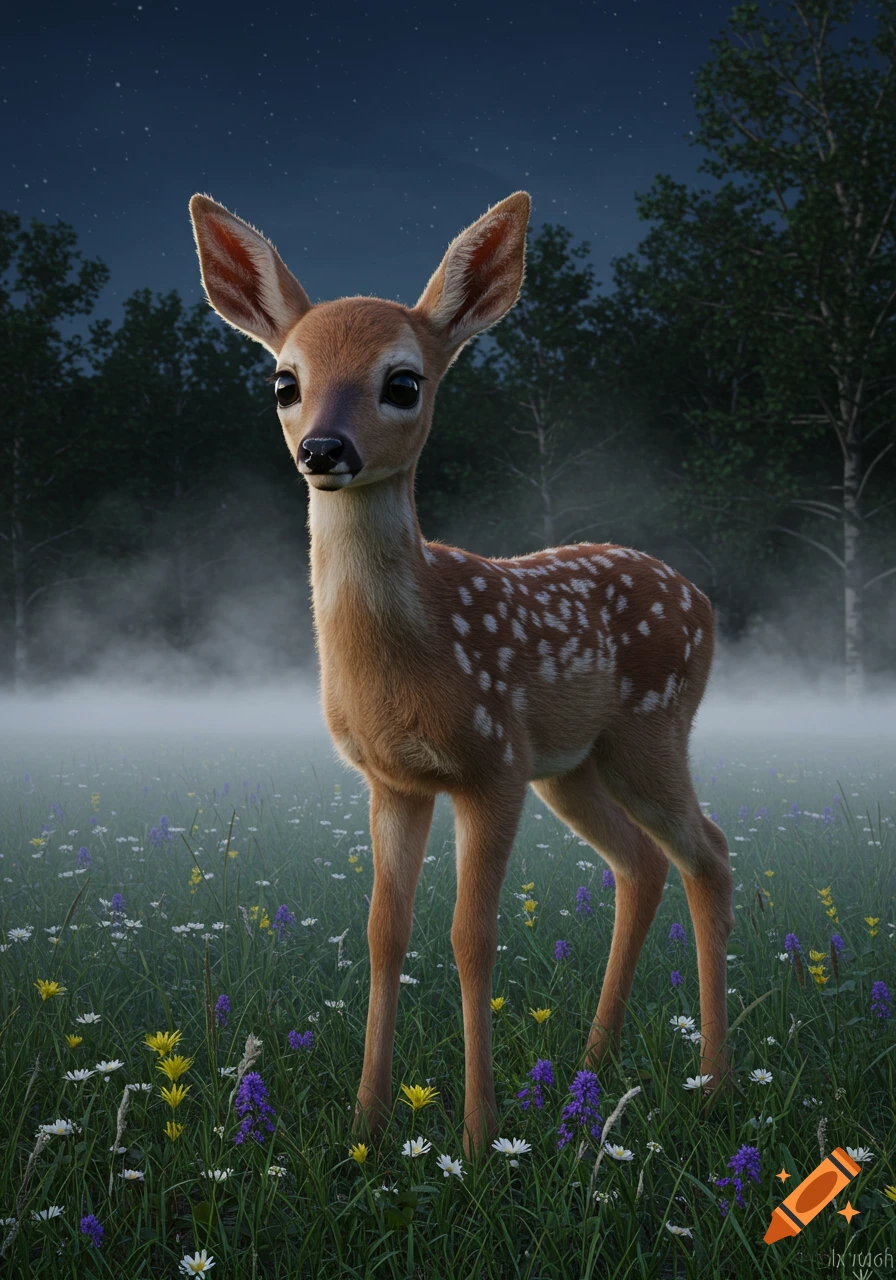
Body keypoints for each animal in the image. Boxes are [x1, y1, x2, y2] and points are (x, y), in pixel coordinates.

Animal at [188, 190, 735, 1155]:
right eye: (285, 381)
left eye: (403, 382)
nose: (323, 450)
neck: (416, 651)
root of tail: (702, 603)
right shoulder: (392, 780)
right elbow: (386, 933)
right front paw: (366, 1123)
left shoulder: (492, 767)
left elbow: (471, 937)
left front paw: (481, 1138)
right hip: (576, 767)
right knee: (641, 863)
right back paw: (592, 1064)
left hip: (649, 731)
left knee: (709, 854)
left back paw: (711, 1085)